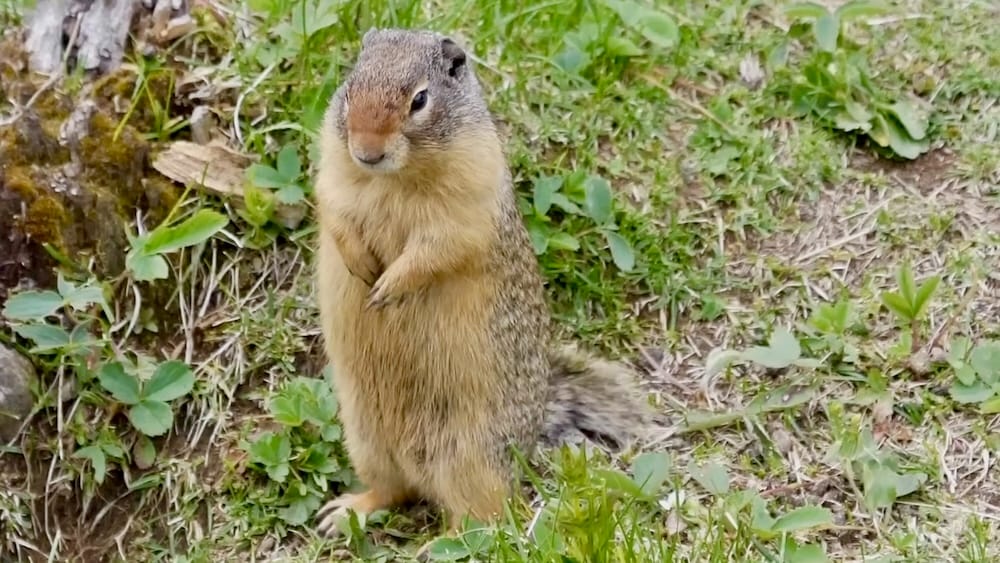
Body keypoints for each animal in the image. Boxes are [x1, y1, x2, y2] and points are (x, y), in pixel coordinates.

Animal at [311, 28, 655, 538]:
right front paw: (361, 267)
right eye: (351, 86)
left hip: (470, 457)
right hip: (365, 439)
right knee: (394, 491)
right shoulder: (332, 171)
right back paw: (345, 511)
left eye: (419, 99)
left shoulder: (467, 200)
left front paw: (389, 285)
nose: (366, 151)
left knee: (484, 520)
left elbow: (438, 247)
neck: (394, 178)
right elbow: (333, 212)